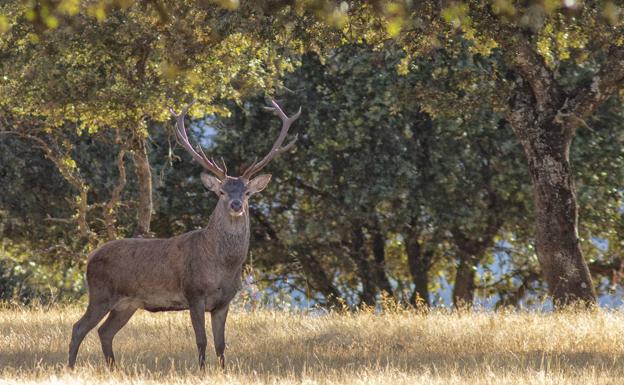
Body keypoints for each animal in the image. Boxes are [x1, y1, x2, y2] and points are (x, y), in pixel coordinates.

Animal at [67, 99, 300, 368]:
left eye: (247, 193)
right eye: (221, 191)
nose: (236, 204)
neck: (223, 265)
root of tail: (90, 258)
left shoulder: (224, 302)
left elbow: (221, 344)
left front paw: (222, 370)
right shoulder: (194, 293)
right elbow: (202, 341)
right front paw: (201, 370)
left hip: (128, 303)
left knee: (104, 331)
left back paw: (113, 368)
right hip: (101, 293)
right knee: (79, 327)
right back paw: (71, 367)